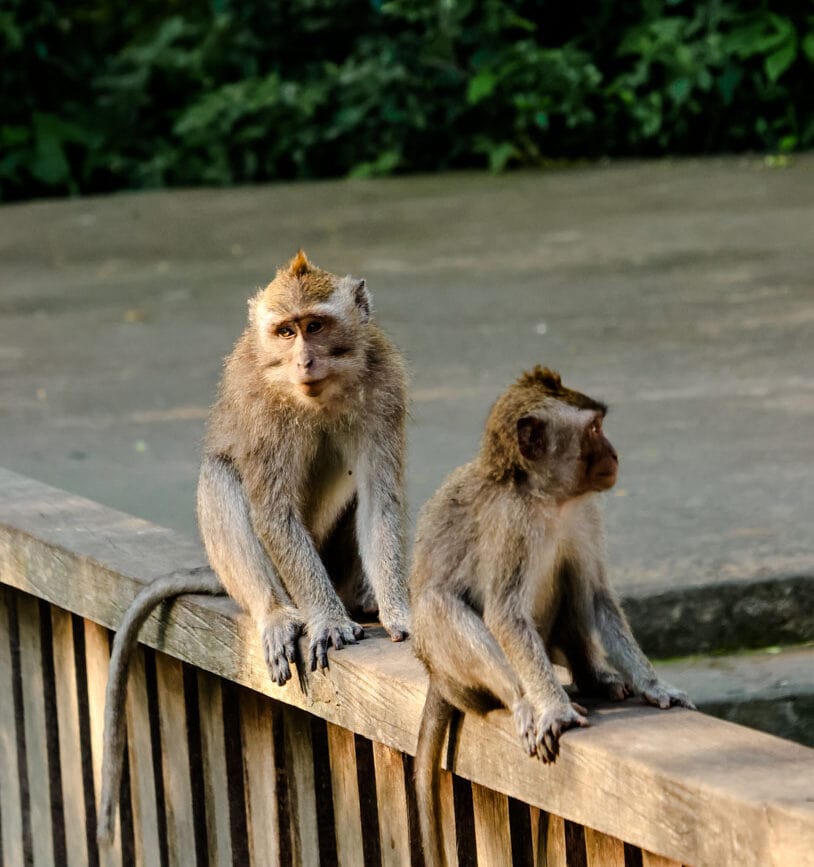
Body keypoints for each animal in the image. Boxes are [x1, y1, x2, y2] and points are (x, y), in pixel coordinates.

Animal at [98, 251, 410, 845]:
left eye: (316, 326)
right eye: (286, 332)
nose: (304, 361)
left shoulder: (383, 386)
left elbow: (380, 498)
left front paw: (400, 611)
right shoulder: (266, 408)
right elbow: (272, 511)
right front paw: (326, 621)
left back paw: (357, 597)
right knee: (220, 475)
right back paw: (280, 614)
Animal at [410, 366, 694, 866]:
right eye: (595, 429)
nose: (614, 453)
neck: (547, 500)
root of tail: (436, 680)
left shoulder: (583, 512)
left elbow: (597, 596)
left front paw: (654, 684)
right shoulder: (511, 524)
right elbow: (505, 614)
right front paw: (552, 708)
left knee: (569, 572)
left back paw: (592, 676)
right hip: (455, 678)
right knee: (438, 604)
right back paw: (524, 700)